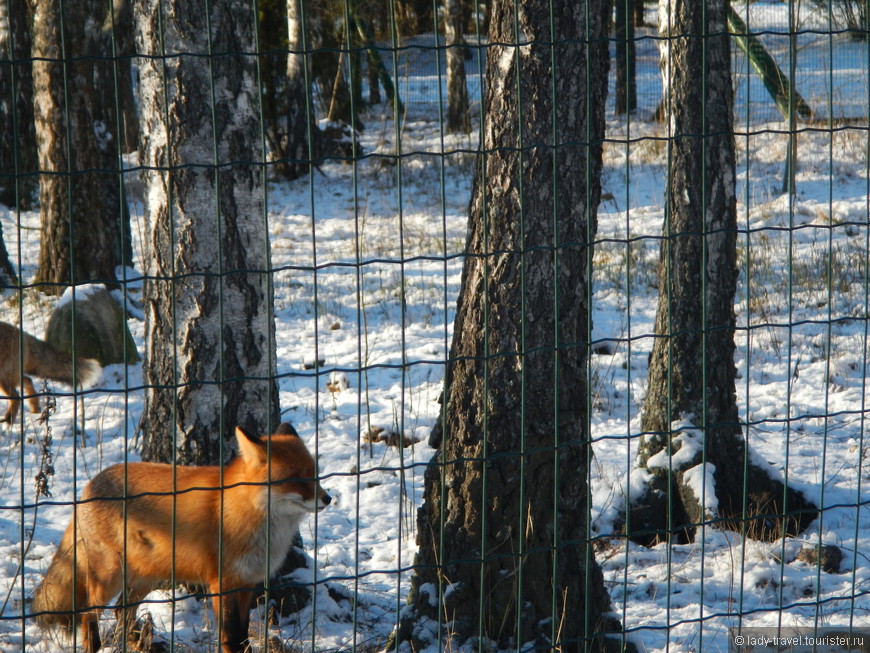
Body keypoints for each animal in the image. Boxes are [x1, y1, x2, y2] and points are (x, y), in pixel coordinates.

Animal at [32, 422, 332, 652]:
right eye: (297, 479)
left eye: (314, 475)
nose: (328, 499)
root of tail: (89, 485)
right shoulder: (222, 582)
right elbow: (230, 635)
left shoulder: (247, 583)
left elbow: (243, 633)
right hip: (109, 576)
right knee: (87, 614)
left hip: (146, 576)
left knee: (121, 610)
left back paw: (137, 643)